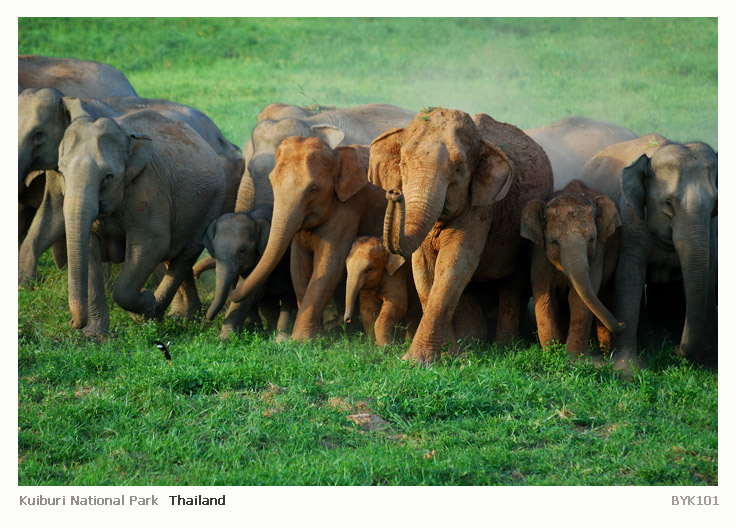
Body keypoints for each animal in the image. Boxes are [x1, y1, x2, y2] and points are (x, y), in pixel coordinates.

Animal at [57, 109, 226, 336]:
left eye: (108, 176)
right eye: (61, 173)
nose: (72, 322)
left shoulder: (148, 189)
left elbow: (152, 244)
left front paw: (145, 302)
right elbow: (89, 248)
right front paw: (94, 337)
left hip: (209, 205)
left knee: (185, 253)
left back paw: (162, 313)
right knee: (174, 256)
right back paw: (180, 317)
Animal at [374, 107, 552, 364]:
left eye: (458, 170)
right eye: (403, 164)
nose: (394, 193)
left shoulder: (481, 208)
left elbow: (455, 263)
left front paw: (419, 361)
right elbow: (424, 268)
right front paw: (446, 355)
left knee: (513, 281)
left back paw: (502, 346)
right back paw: (471, 343)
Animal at [520, 180, 624, 358]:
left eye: (591, 239)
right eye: (554, 241)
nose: (623, 324)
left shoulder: (598, 252)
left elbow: (577, 298)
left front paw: (573, 358)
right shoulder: (539, 252)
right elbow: (544, 292)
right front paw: (552, 354)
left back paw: (605, 352)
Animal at [576, 136, 716, 376]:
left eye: (716, 204)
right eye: (668, 204)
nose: (676, 350)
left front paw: (706, 366)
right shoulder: (630, 218)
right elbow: (629, 278)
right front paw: (627, 369)